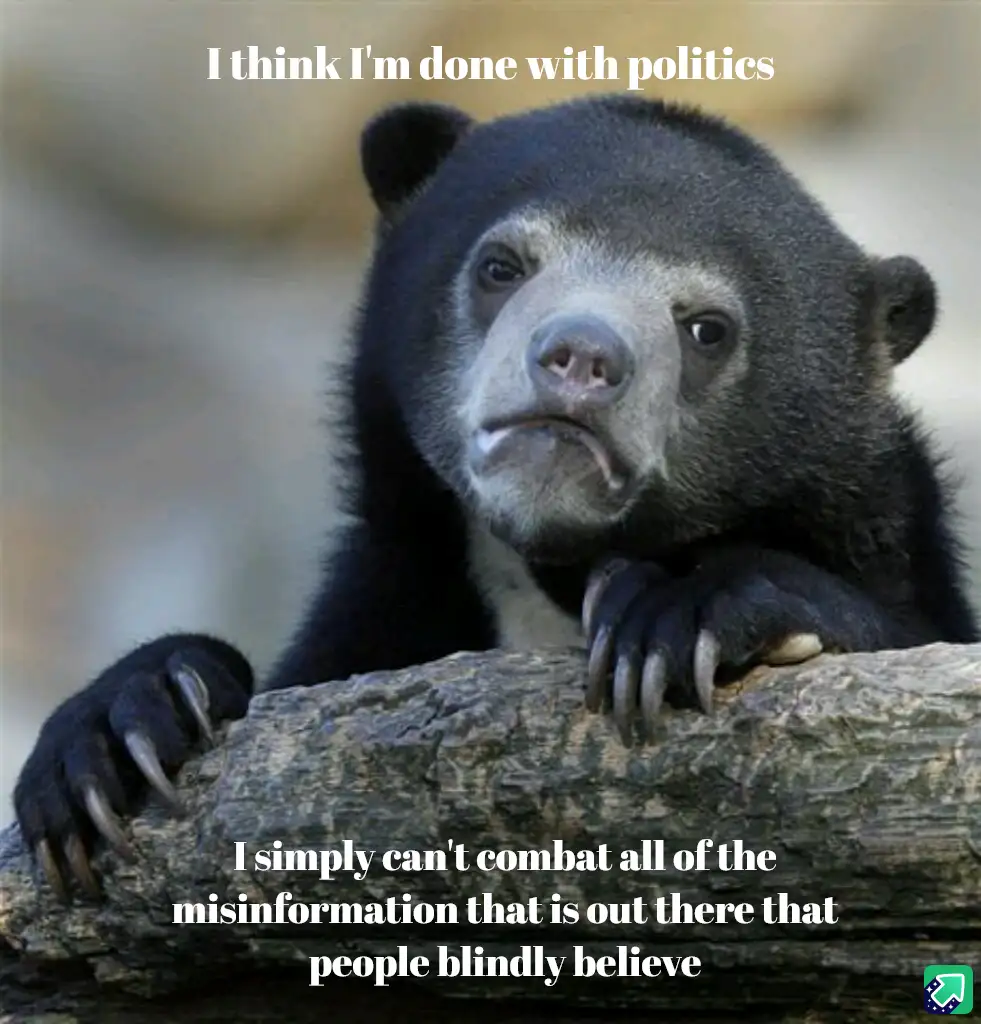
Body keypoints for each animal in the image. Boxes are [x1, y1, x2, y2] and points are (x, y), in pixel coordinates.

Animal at [12, 95, 979, 901]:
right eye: (501, 265)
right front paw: (118, 733)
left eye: (706, 328)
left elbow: (901, 624)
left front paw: (672, 614)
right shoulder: (395, 592)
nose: (581, 358)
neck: (545, 573)